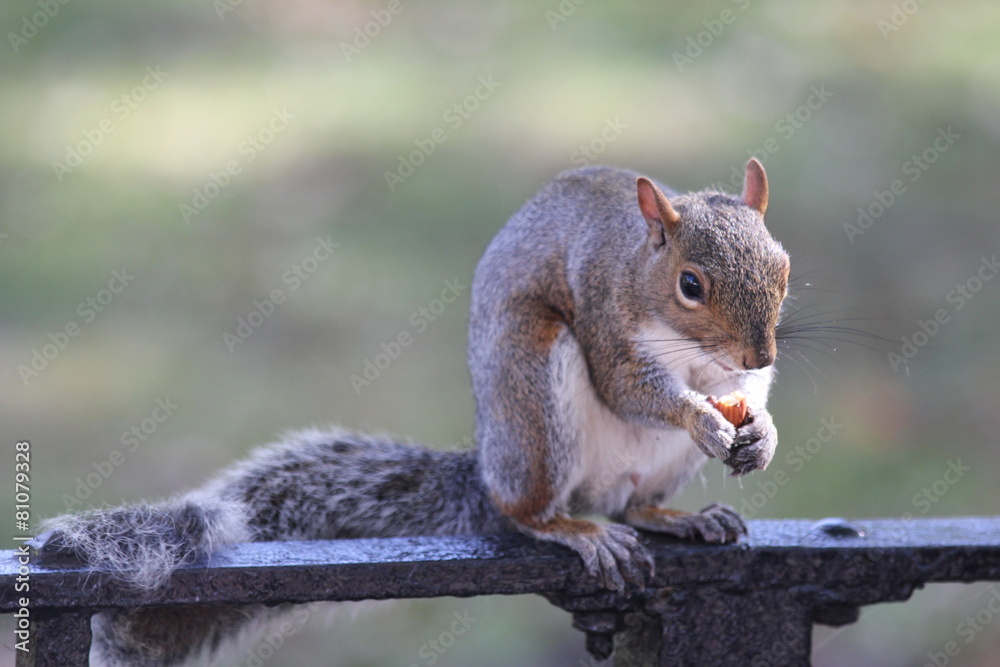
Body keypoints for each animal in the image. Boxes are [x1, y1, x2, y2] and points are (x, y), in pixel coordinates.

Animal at [39, 158, 789, 666]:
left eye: (784, 268)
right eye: (690, 284)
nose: (758, 350)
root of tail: (490, 473)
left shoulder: (736, 373)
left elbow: (751, 396)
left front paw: (761, 431)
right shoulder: (609, 323)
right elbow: (633, 389)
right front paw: (701, 416)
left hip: (645, 471)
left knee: (634, 504)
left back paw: (680, 516)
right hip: (535, 399)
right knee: (531, 513)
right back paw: (575, 530)